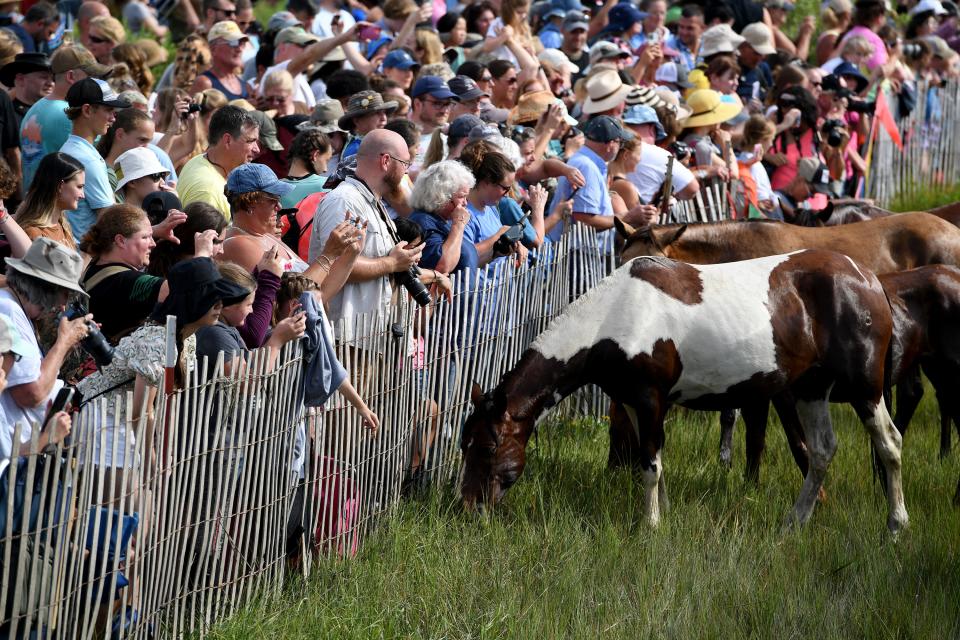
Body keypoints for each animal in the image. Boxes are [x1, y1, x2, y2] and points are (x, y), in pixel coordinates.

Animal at [462, 250, 912, 536]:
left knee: (889, 443)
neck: (615, 315)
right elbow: (653, 462)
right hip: (810, 388)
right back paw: (794, 522)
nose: (469, 507)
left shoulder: (650, 399)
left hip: (865, 388)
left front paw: (650, 526)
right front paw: (662, 513)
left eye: (487, 447)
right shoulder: (633, 402)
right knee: (821, 451)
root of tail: (868, 279)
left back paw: (895, 525)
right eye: (465, 444)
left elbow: (649, 465)